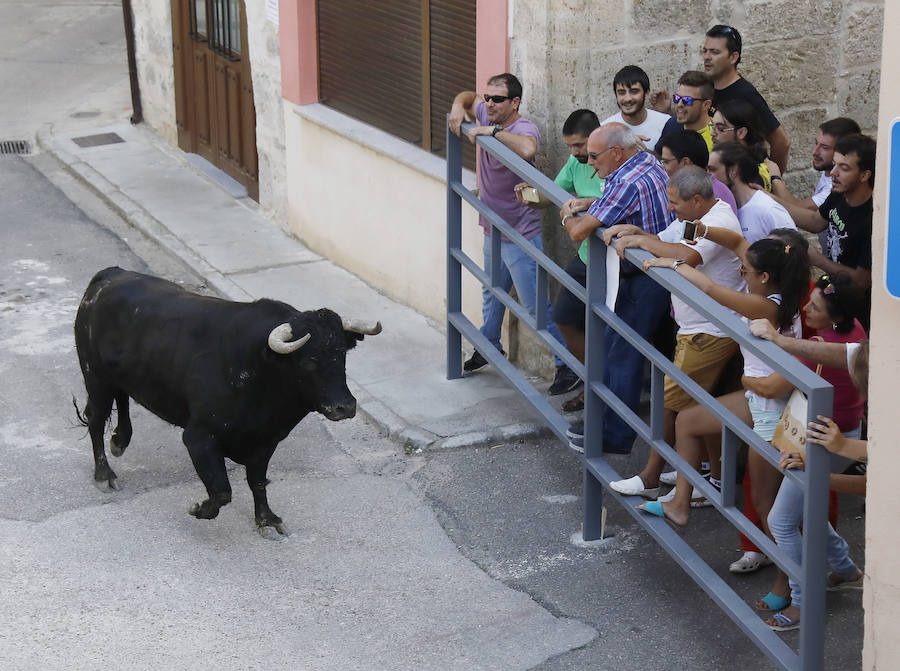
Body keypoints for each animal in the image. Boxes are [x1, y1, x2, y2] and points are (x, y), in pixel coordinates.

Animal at [72, 268, 378, 536]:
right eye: (309, 361)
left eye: (342, 354)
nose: (346, 407)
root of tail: (110, 274)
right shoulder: (199, 436)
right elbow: (222, 491)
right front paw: (199, 509)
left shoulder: (266, 442)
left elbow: (258, 481)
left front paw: (267, 520)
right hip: (95, 376)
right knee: (96, 418)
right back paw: (104, 474)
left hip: (116, 377)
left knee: (121, 399)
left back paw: (119, 441)